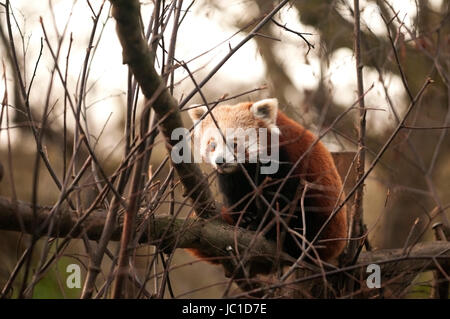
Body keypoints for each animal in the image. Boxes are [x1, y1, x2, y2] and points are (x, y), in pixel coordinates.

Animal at [186, 98, 348, 276]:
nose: (220, 161)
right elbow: (236, 194)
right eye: (212, 145)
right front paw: (245, 217)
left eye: (234, 144)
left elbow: (280, 199)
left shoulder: (286, 161)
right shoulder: (233, 177)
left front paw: (261, 225)